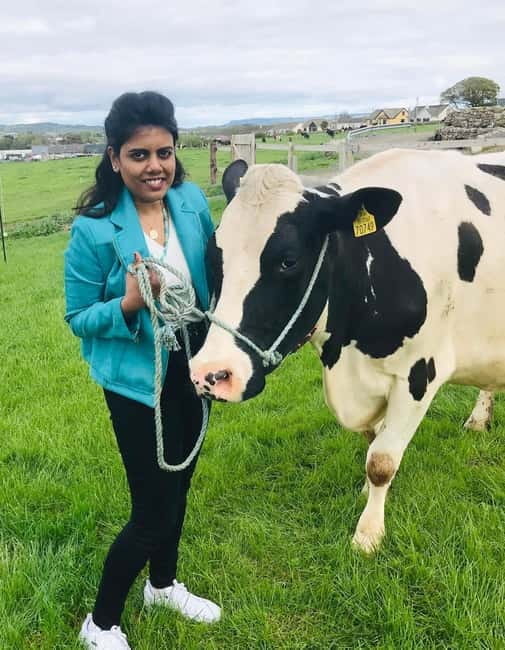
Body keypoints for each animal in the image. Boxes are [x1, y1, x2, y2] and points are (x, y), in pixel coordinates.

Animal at [189, 148, 505, 553]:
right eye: (213, 257)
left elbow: (381, 460)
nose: (210, 374)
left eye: (288, 260)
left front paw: (368, 534)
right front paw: (366, 495)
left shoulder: (419, 372)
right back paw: (479, 419)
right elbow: (372, 441)